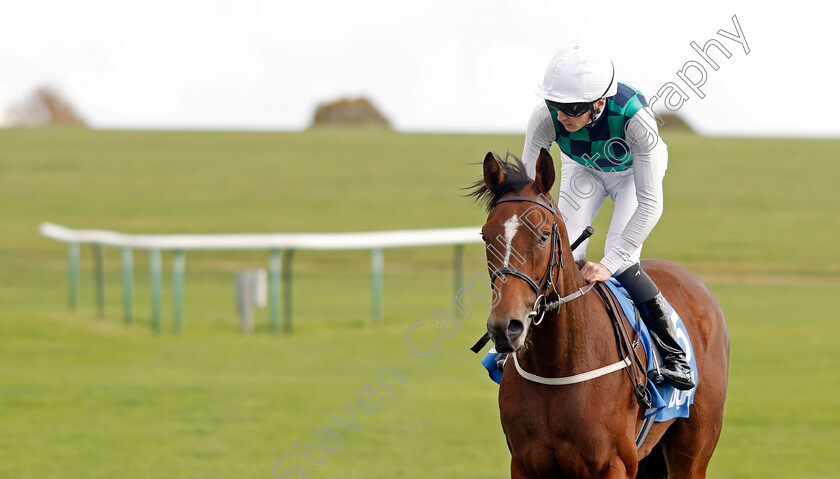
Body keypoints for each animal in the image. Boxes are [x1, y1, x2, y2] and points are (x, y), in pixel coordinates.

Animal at [472, 151, 728, 479]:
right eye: (485, 235)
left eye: (543, 236)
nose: (506, 327)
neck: (557, 366)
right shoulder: (524, 465)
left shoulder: (614, 464)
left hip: (693, 450)